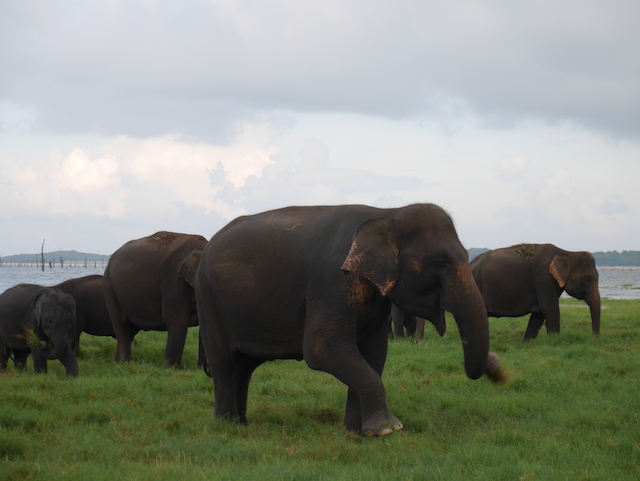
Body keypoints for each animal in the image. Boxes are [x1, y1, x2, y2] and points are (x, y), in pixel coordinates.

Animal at [104, 231, 206, 366]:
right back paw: (125, 363)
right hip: (110, 288)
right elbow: (177, 321)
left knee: (130, 329)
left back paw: (117, 362)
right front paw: (171, 368)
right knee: (121, 325)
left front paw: (204, 369)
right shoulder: (174, 283)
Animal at [198, 202, 492, 436]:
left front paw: (358, 433)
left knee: (245, 366)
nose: (493, 367)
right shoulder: (332, 282)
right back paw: (227, 426)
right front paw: (388, 429)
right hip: (210, 303)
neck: (387, 214)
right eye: (441, 261)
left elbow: (373, 353)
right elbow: (322, 349)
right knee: (225, 362)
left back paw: (242, 424)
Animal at [470, 242, 600, 340]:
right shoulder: (544, 278)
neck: (567, 252)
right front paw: (555, 340)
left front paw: (527, 342)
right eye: (587, 279)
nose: (594, 338)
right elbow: (549, 308)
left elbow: (539, 313)